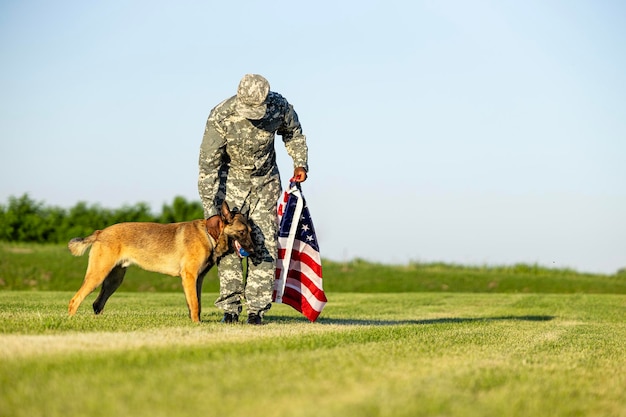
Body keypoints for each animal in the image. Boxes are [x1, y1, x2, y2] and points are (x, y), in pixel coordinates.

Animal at [67, 202, 252, 322]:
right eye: (243, 232)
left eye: (250, 231)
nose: (253, 250)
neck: (209, 234)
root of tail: (100, 232)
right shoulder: (190, 277)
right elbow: (194, 304)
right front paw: (196, 324)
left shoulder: (197, 280)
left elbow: (196, 304)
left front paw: (195, 323)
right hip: (97, 275)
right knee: (75, 300)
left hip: (114, 280)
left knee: (97, 303)